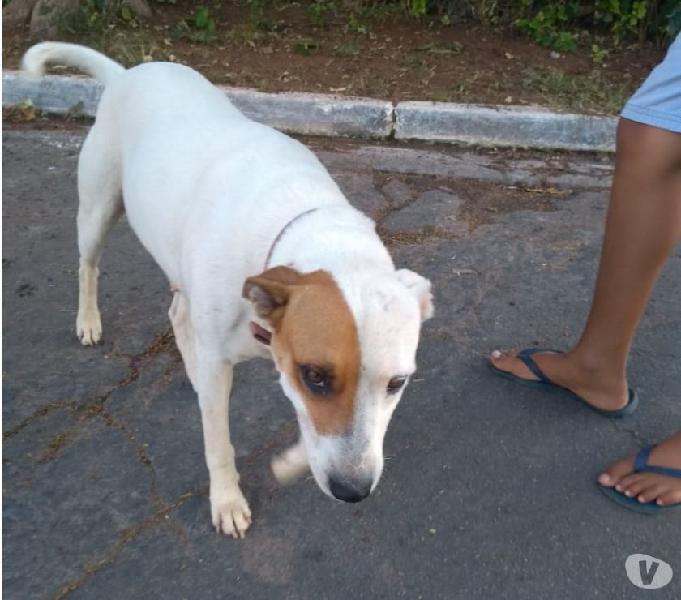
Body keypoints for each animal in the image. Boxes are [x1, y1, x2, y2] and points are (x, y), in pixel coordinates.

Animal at [23, 42, 432, 540]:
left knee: (178, 312)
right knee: (89, 265)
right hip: (97, 210)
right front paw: (227, 500)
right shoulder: (232, 364)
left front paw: (293, 462)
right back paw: (88, 320)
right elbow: (219, 443)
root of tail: (126, 75)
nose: (352, 490)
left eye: (397, 383)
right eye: (316, 376)